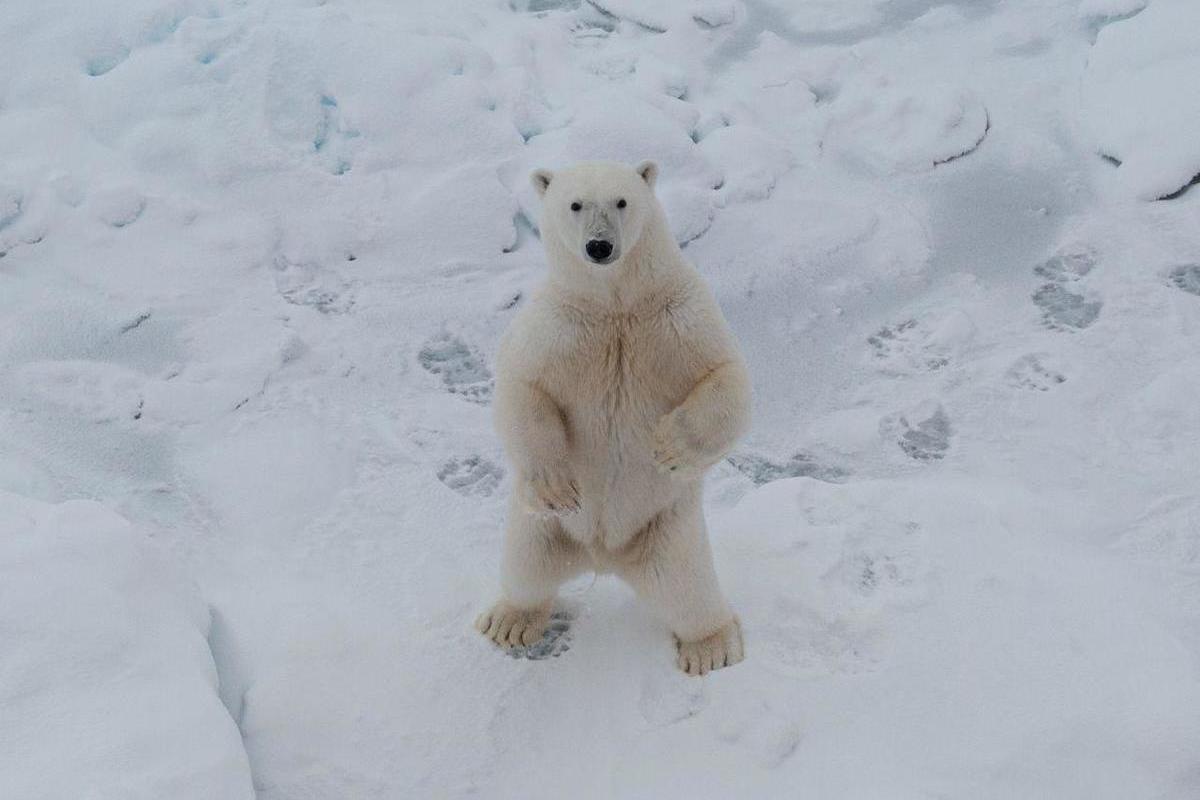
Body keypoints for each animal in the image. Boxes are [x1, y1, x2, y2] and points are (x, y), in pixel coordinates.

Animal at [477, 160, 748, 676]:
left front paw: (670, 448)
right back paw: (509, 622)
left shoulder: (679, 315)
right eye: (575, 204)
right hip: (541, 527)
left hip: (669, 530)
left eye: (621, 201)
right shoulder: (556, 325)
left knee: (689, 589)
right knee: (526, 564)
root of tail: (603, 557)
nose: (599, 246)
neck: (615, 305)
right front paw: (558, 486)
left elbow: (725, 376)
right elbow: (522, 388)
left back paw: (711, 647)